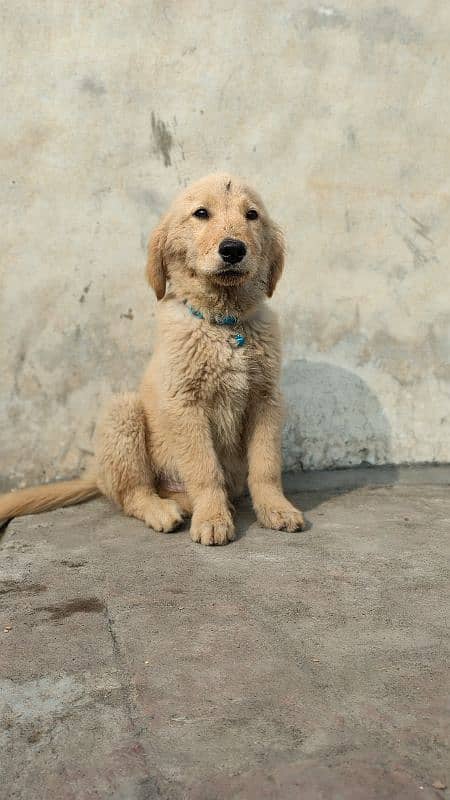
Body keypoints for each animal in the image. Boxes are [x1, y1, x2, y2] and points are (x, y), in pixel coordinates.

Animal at [0, 174, 304, 544]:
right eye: (201, 213)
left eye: (252, 215)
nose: (233, 249)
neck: (224, 323)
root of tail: (96, 475)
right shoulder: (186, 404)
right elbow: (204, 469)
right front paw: (213, 518)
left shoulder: (265, 399)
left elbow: (265, 466)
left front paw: (276, 509)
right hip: (122, 413)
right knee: (134, 493)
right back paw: (163, 511)